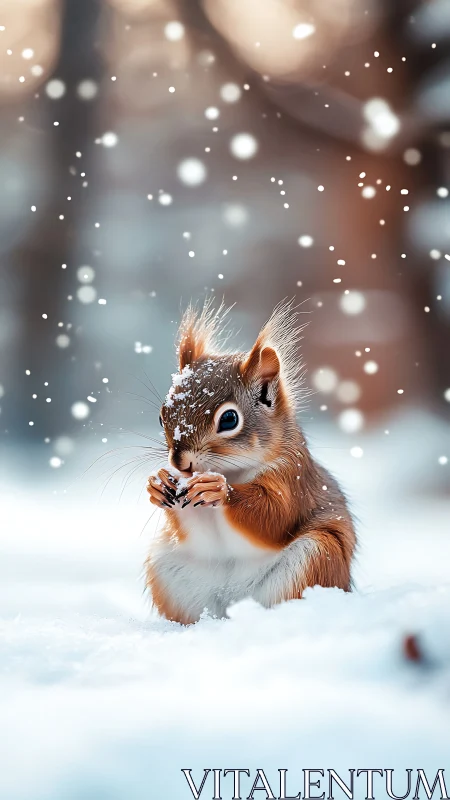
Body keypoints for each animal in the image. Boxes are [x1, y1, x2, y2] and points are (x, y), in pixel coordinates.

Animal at [146, 301, 356, 625]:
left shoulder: (291, 478)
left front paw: (218, 490)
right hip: (168, 574)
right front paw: (157, 484)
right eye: (161, 415)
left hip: (315, 557)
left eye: (229, 419)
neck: (231, 470)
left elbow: (274, 516)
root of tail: (234, 602)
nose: (179, 463)